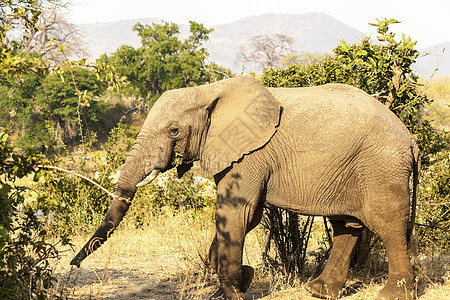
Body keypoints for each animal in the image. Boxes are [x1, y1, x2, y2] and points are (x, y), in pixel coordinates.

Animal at [69, 78, 418, 300]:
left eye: (174, 131)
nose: (73, 265)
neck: (209, 90)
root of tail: (411, 140)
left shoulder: (251, 152)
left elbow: (237, 210)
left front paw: (235, 289)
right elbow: (245, 217)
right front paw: (234, 280)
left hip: (381, 167)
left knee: (388, 225)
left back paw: (391, 295)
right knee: (348, 226)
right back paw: (317, 291)